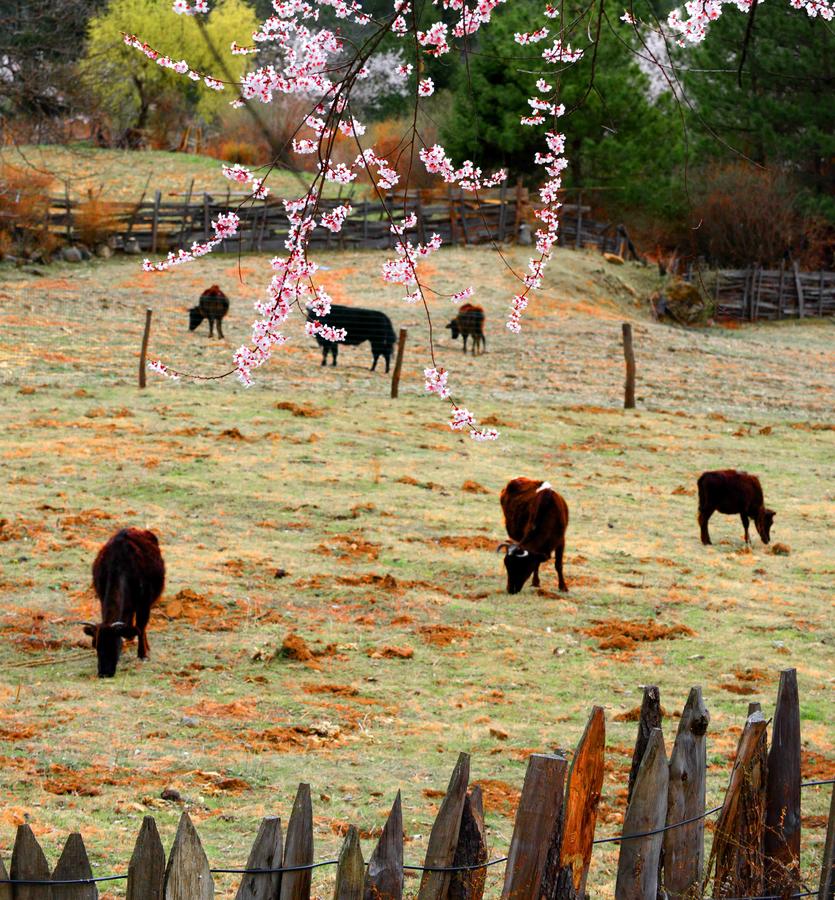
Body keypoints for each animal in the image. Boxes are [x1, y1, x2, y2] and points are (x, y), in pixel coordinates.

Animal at [83, 528, 167, 676]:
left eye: (115, 644)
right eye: (96, 645)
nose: (104, 673)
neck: (119, 565)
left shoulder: (144, 604)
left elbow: (141, 627)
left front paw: (142, 654)